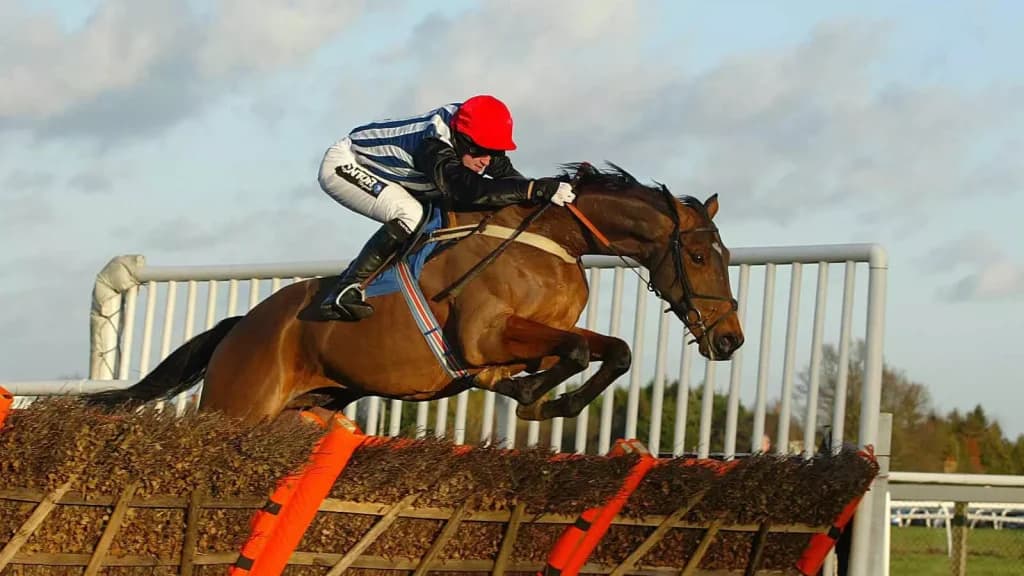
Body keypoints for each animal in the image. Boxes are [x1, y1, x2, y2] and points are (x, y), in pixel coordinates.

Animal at [84, 163, 745, 425]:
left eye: (726, 256)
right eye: (698, 256)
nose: (731, 340)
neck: (553, 240)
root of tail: (240, 325)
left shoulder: (543, 334)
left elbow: (611, 350)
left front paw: (541, 400)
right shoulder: (483, 336)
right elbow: (579, 353)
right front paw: (530, 396)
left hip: (304, 410)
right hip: (237, 407)